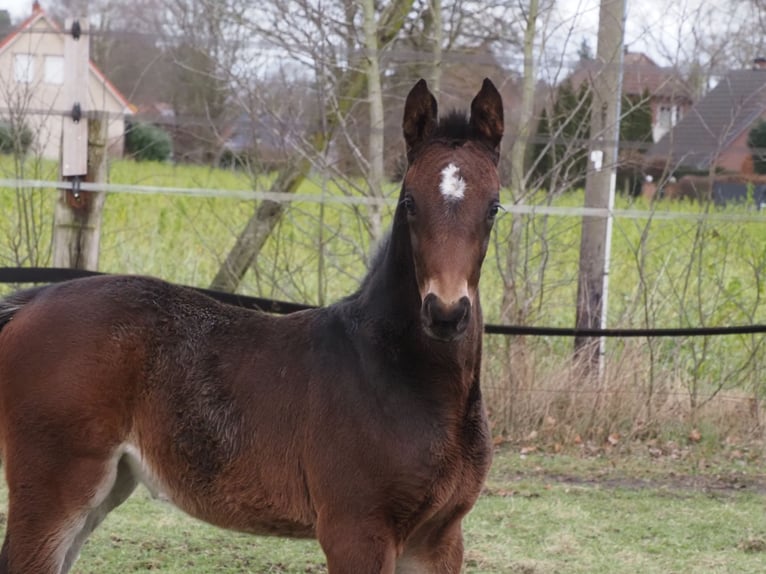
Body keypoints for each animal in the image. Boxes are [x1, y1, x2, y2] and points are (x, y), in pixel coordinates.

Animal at [0, 77, 508, 574]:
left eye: (494, 207)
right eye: (409, 202)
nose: (446, 313)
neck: (401, 374)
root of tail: (31, 303)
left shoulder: (438, 539)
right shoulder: (355, 530)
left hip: (105, 488)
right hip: (55, 490)